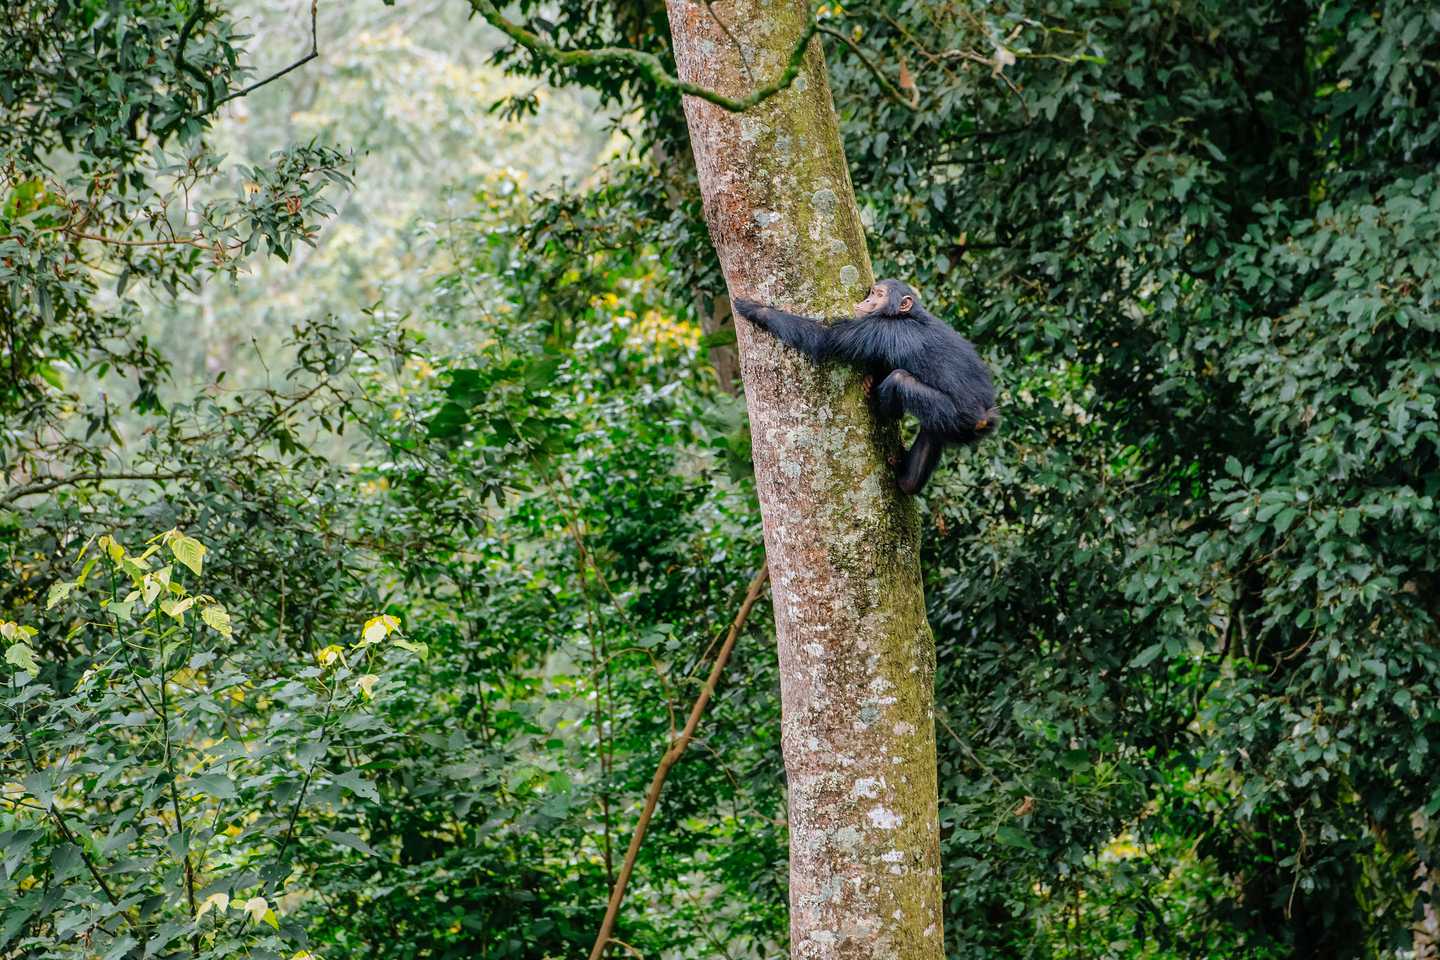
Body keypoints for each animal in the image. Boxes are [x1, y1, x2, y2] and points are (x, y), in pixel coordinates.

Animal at [732, 279, 998, 494]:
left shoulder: (876, 327)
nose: (868, 299)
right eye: (872, 292)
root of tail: (985, 417)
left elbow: (824, 339)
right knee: (930, 436)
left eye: (879, 294)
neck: (907, 315)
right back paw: (907, 480)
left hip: (952, 414)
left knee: (899, 379)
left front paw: (755, 310)